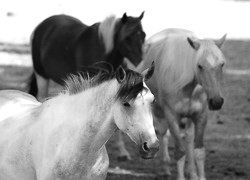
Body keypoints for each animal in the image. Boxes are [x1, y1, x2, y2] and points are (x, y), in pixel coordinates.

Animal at [137, 28, 227, 180]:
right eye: (200, 66)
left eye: (221, 64)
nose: (216, 102)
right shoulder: (171, 116)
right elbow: (179, 152)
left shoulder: (200, 116)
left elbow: (199, 151)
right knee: (163, 133)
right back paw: (166, 167)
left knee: (188, 138)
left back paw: (192, 172)